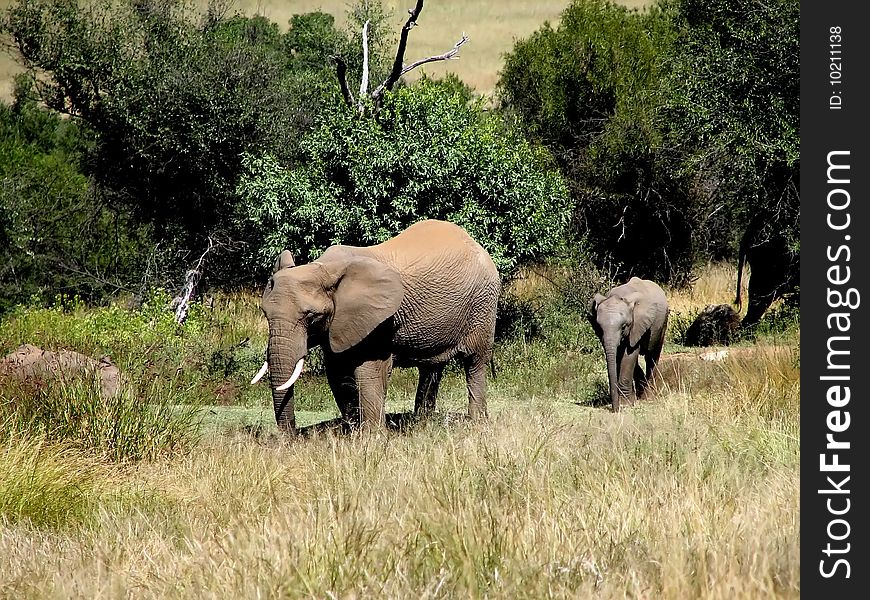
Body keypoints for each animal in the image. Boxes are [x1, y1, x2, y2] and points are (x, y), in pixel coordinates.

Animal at [250, 218, 504, 434]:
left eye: (311, 316)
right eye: (265, 314)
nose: (291, 437)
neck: (324, 268)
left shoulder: (378, 323)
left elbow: (368, 371)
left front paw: (372, 438)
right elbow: (337, 373)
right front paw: (353, 431)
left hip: (483, 306)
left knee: (475, 363)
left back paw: (477, 424)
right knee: (432, 368)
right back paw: (422, 423)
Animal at [588, 278, 672, 412]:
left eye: (624, 327)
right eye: (599, 329)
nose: (615, 409)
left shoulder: (636, 325)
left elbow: (629, 355)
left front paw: (625, 405)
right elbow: (619, 356)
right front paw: (630, 401)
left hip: (662, 323)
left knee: (652, 356)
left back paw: (648, 397)